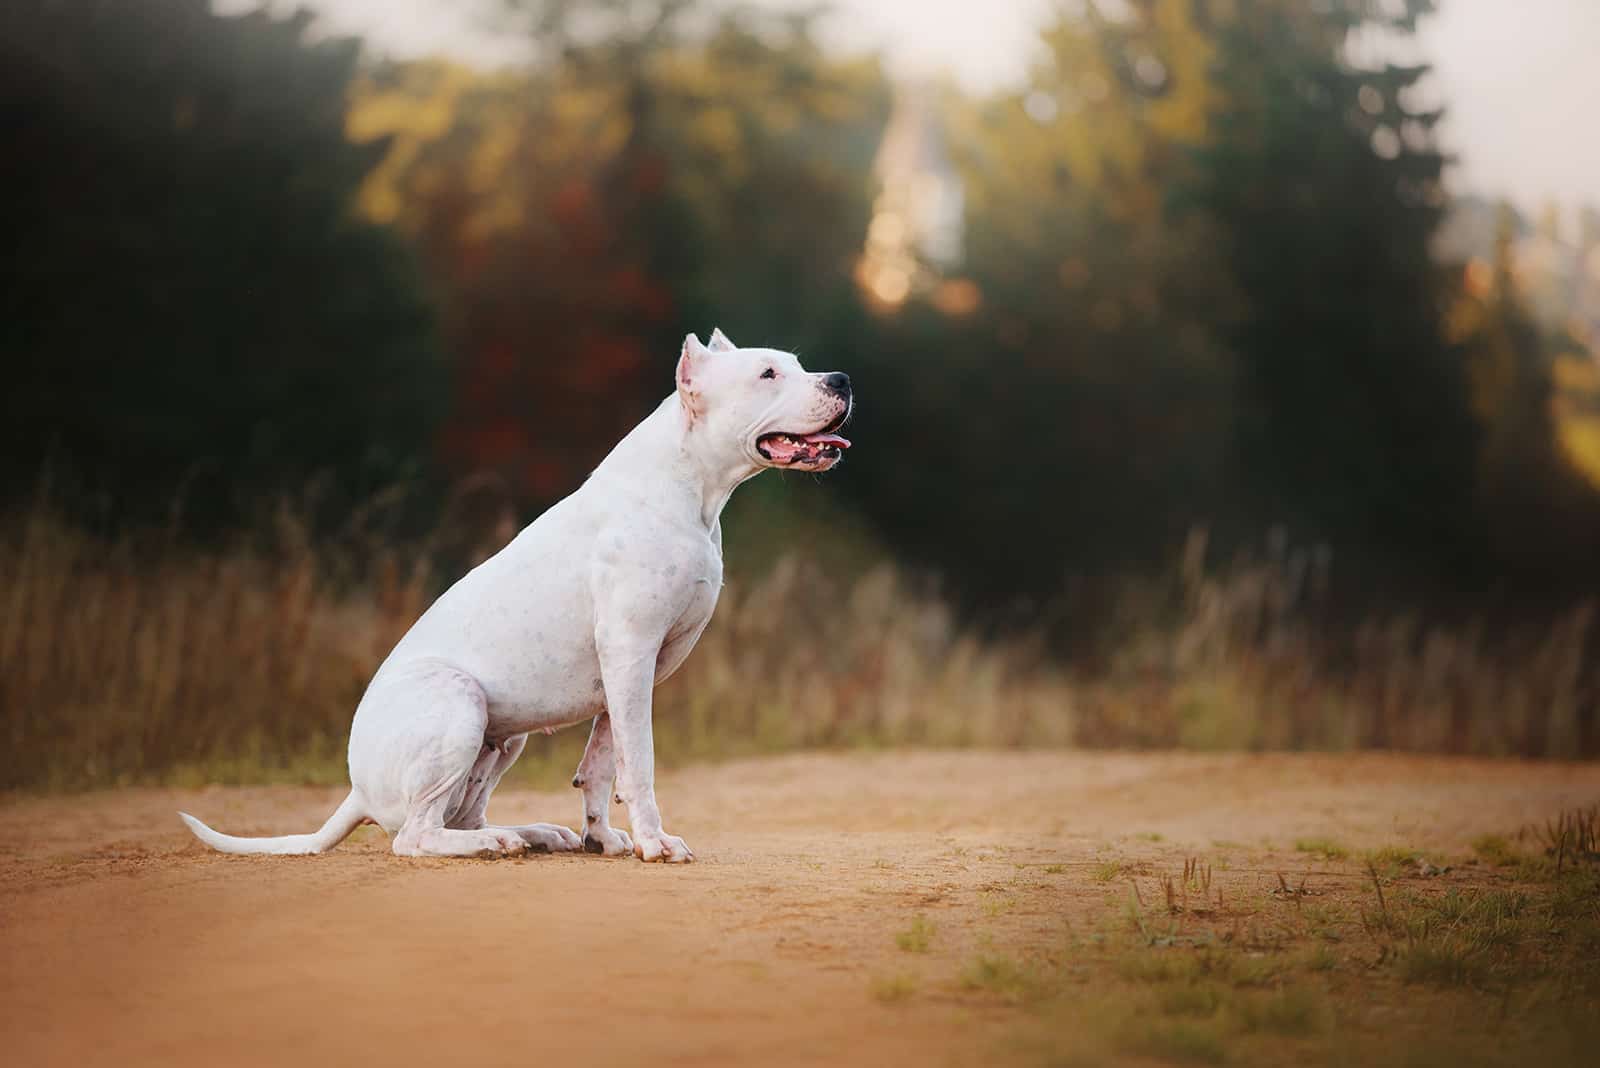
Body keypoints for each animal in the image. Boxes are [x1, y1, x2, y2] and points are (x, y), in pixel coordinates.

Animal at [178, 329, 851, 863]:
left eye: (797, 364)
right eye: (767, 374)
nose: (842, 378)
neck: (691, 489)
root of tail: (357, 791)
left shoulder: (629, 670)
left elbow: (602, 762)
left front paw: (604, 839)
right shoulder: (630, 652)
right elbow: (640, 760)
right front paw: (654, 842)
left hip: (502, 740)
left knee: (459, 813)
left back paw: (529, 833)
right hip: (459, 703)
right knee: (416, 836)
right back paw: (493, 844)